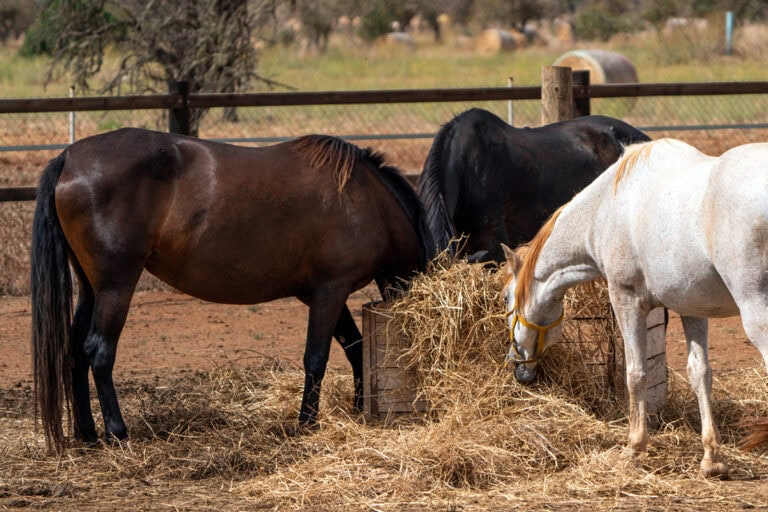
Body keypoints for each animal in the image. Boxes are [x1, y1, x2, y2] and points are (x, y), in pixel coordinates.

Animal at [30, 129, 435, 453]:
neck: (364, 198)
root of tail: (70, 158)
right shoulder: (330, 290)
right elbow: (317, 358)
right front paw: (307, 422)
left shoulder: (321, 293)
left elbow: (354, 348)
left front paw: (356, 409)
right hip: (116, 286)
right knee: (99, 352)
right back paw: (116, 431)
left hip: (91, 288)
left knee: (75, 353)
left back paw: (87, 434)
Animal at [501, 137, 768, 478]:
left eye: (506, 298)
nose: (519, 369)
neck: (604, 210)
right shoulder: (692, 308)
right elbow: (700, 373)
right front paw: (711, 458)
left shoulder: (625, 299)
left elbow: (635, 372)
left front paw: (635, 446)